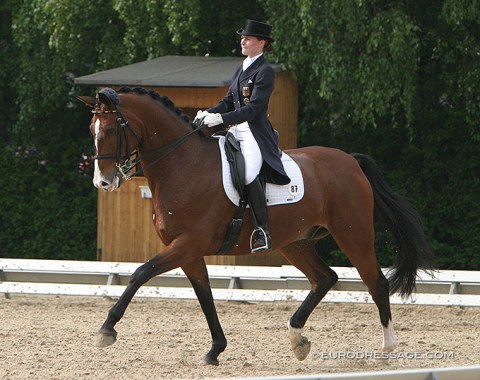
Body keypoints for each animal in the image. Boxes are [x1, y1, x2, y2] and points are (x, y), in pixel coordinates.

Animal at [79, 86, 436, 366]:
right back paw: (298, 339)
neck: (183, 164)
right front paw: (216, 349)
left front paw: (106, 330)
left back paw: (387, 348)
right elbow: (205, 297)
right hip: (296, 242)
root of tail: (350, 160)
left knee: (376, 282)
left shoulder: (187, 244)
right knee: (325, 278)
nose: (103, 182)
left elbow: (140, 273)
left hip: (354, 234)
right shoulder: (188, 251)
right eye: (91, 130)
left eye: (110, 130)